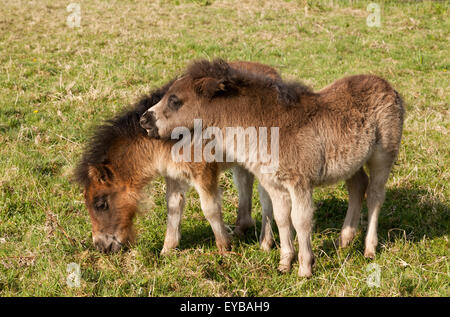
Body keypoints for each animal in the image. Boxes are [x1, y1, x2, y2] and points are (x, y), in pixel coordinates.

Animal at [141, 58, 404, 276]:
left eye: (175, 100)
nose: (144, 119)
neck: (269, 126)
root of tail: (389, 87)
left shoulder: (300, 183)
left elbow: (301, 220)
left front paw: (305, 269)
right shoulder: (273, 183)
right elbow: (281, 218)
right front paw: (284, 263)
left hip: (383, 156)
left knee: (375, 195)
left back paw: (369, 249)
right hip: (352, 163)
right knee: (358, 187)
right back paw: (344, 240)